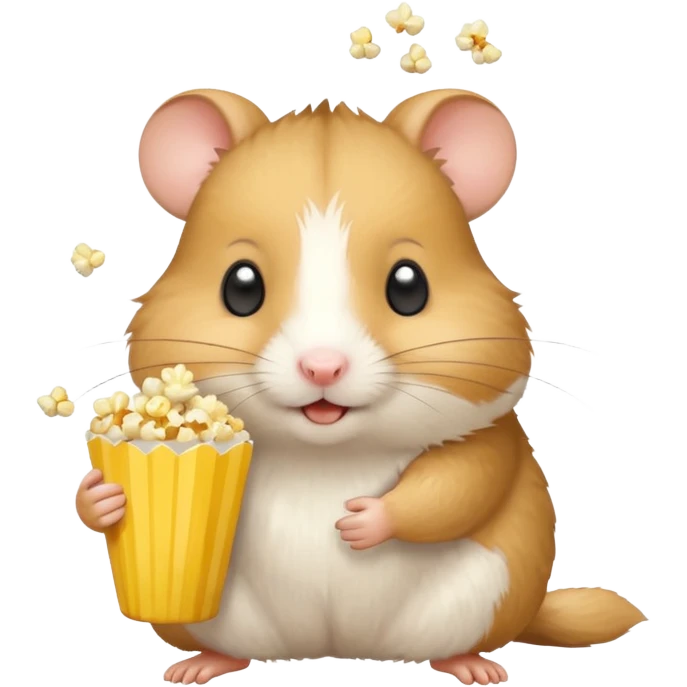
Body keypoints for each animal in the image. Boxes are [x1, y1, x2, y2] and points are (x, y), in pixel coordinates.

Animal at [76, 89, 646, 686]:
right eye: (240, 286)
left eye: (410, 286)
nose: (322, 367)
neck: (329, 453)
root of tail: (340, 647)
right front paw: (103, 497)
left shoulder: (490, 434)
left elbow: (461, 485)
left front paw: (360, 522)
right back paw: (199, 665)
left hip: (492, 598)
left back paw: (474, 666)